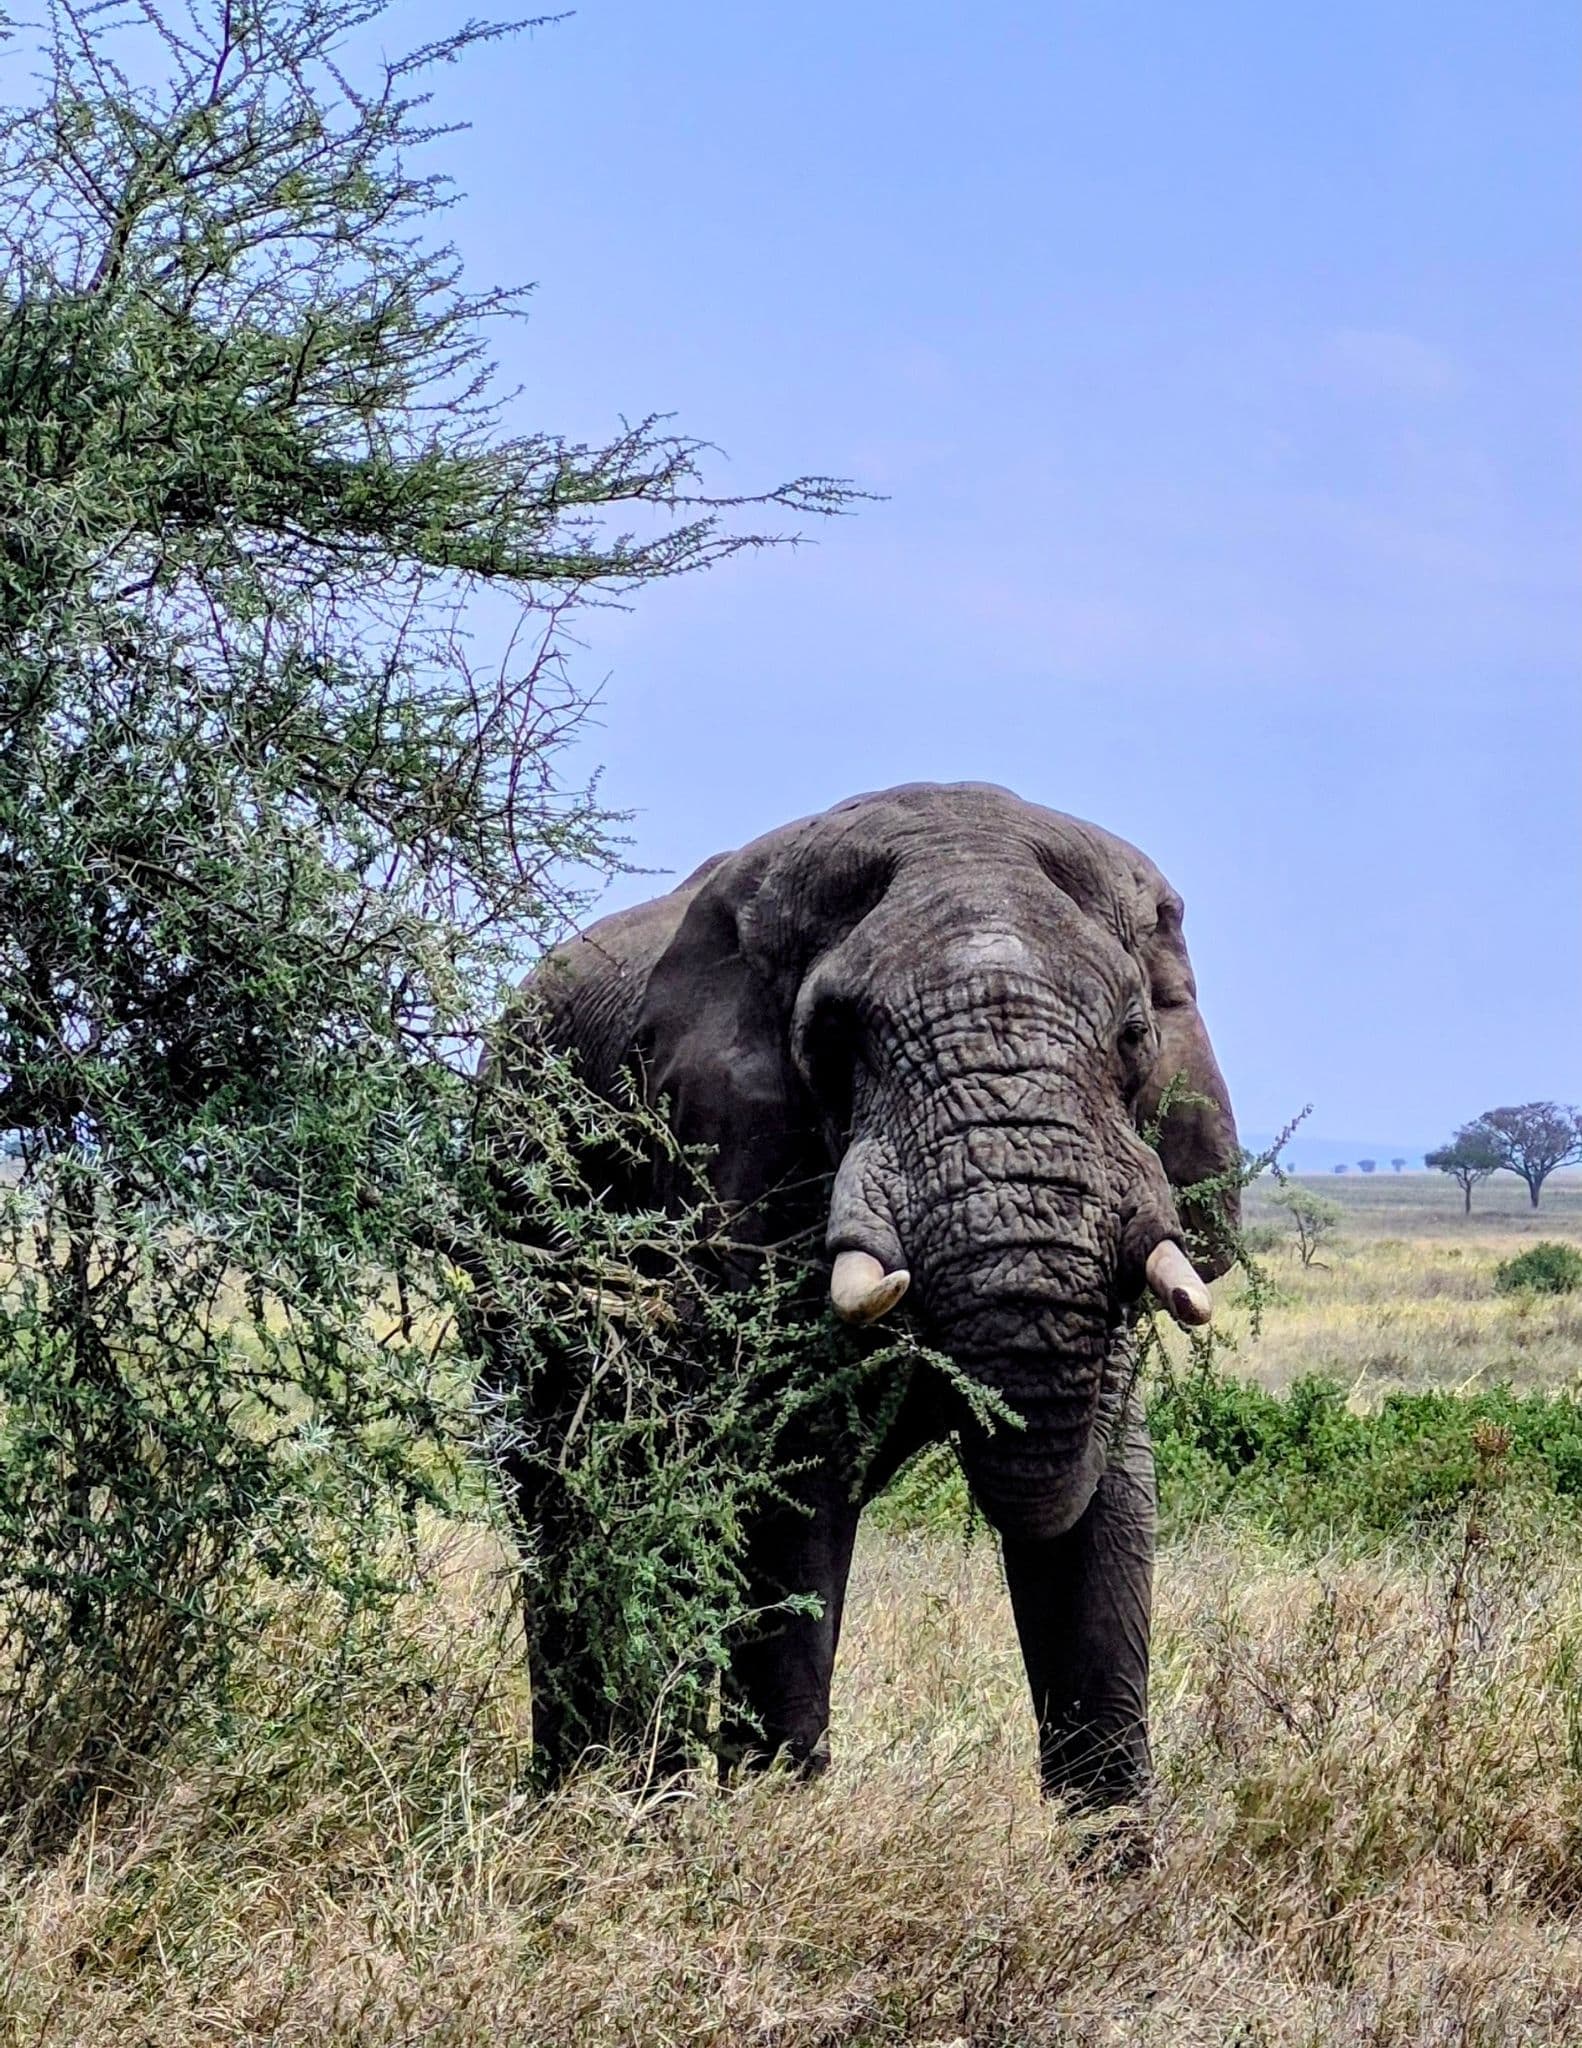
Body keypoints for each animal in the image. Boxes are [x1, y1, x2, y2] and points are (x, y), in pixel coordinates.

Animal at [491, 781, 1239, 1809]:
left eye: (1133, 1036)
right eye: (834, 1044)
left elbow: (1111, 1502)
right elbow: (790, 1491)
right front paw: (776, 1816)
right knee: (575, 1506)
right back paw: (611, 1794)